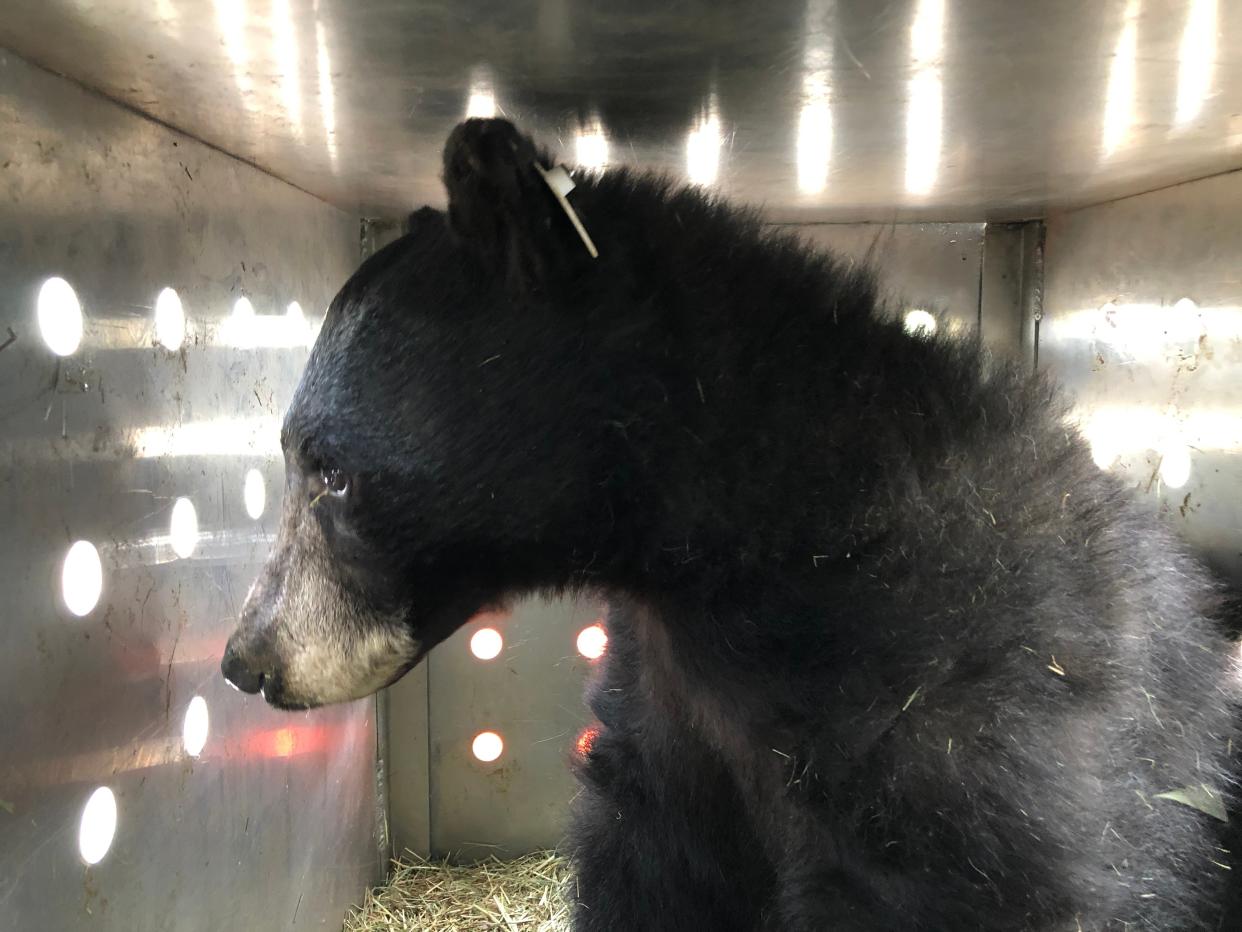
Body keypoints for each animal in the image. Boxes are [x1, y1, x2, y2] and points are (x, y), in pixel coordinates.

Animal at [218, 120, 1237, 929]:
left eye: (330, 471)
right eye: (300, 458)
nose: (246, 659)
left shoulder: (970, 721)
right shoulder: (672, 707)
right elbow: (658, 856)